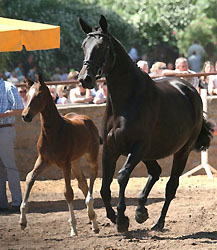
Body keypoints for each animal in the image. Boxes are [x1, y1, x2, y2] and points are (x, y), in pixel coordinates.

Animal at [18, 74, 100, 236]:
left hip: (90, 156)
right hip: (75, 161)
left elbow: (68, 192)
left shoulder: (64, 163)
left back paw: (90, 207)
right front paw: (23, 221)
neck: (53, 133)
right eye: (27, 94)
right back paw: (93, 222)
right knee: (83, 183)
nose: (25, 116)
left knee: (93, 176)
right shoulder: (43, 160)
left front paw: (73, 228)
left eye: (39, 95)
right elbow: (29, 178)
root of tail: (86, 119)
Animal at [78, 15, 214, 232]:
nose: (85, 79)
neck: (127, 101)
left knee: (171, 186)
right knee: (155, 172)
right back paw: (141, 210)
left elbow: (122, 176)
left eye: (102, 46)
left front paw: (122, 219)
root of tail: (190, 90)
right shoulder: (110, 148)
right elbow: (104, 187)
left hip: (180, 151)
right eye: (84, 45)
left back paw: (158, 222)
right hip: (149, 152)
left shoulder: (138, 147)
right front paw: (115, 216)